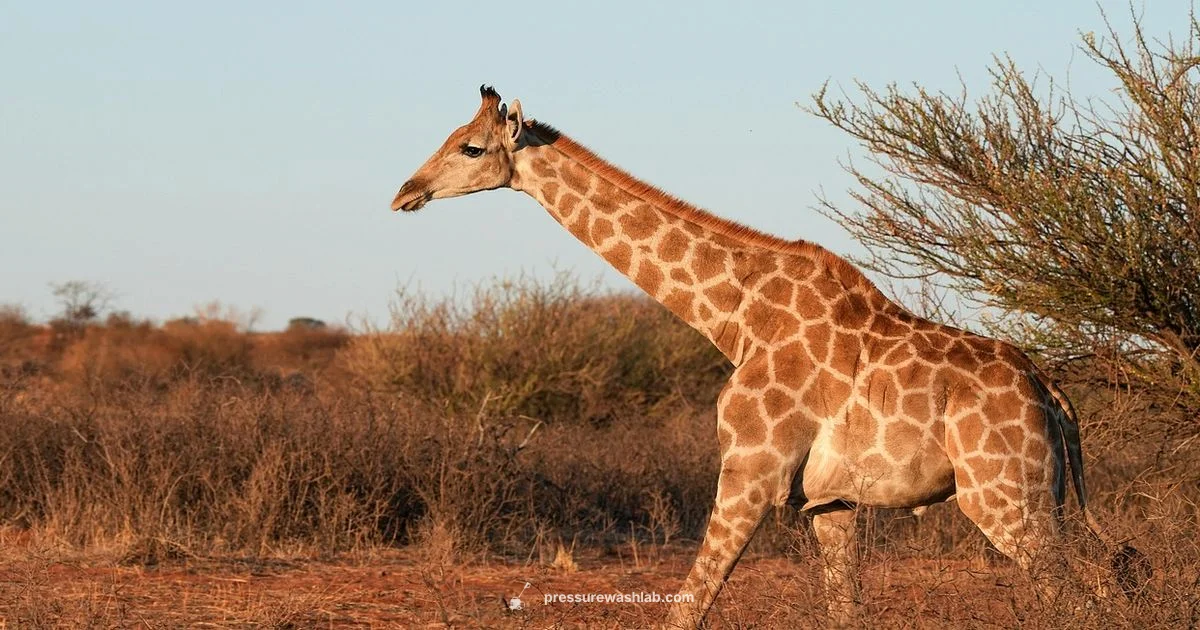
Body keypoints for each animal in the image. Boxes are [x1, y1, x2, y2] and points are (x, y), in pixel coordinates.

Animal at [390, 86, 1146, 627]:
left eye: (471, 147)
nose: (405, 192)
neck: (733, 317)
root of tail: (1053, 394)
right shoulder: (830, 502)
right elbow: (845, 613)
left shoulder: (751, 469)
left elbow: (688, 607)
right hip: (1041, 497)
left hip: (1006, 498)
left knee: (1087, 600)